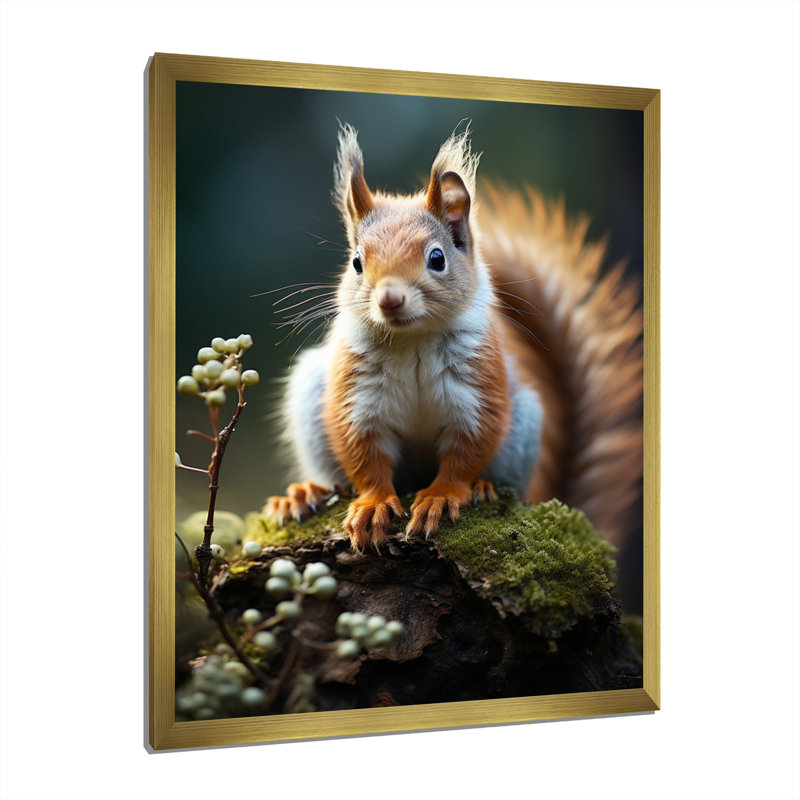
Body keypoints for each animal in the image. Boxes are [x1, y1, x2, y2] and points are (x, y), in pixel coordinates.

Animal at [264, 124, 643, 553]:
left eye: (437, 258)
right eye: (357, 262)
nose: (390, 299)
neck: (412, 340)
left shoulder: (477, 392)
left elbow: (467, 449)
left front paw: (442, 496)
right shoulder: (356, 398)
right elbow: (364, 455)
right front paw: (373, 504)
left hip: (523, 427)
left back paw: (484, 487)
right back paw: (305, 493)